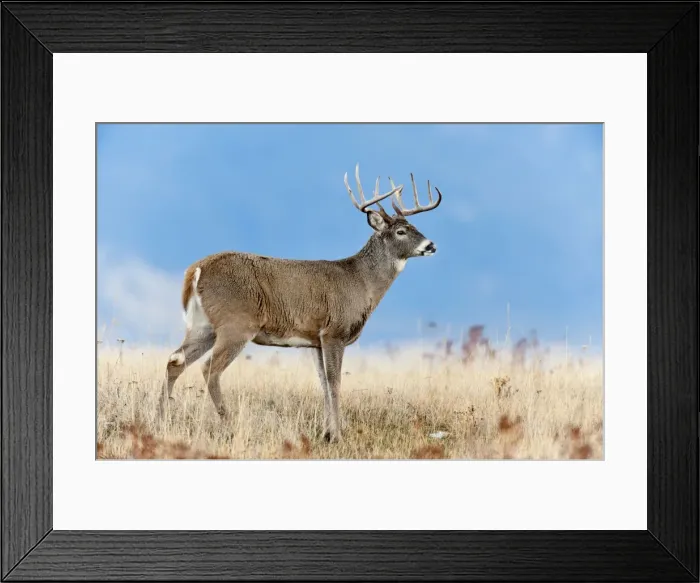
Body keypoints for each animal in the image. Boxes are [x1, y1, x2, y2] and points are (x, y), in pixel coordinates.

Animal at [158, 164, 443, 443]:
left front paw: (326, 433)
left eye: (415, 226)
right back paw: (227, 426)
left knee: (175, 361)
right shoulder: (334, 332)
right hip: (236, 323)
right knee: (210, 369)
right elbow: (335, 383)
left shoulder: (315, 340)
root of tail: (196, 270)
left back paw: (164, 414)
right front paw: (338, 436)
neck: (361, 281)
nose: (432, 245)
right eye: (401, 231)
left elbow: (323, 384)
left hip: (203, 325)